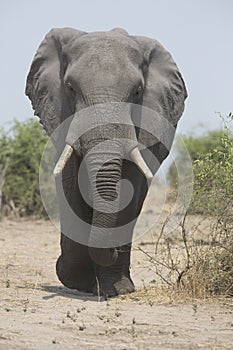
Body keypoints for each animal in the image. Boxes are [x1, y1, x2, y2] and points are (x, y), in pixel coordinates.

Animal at [25, 27, 187, 296]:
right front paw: (76, 280)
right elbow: (70, 186)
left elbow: (130, 188)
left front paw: (113, 288)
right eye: (69, 88)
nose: (111, 250)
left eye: (137, 91)